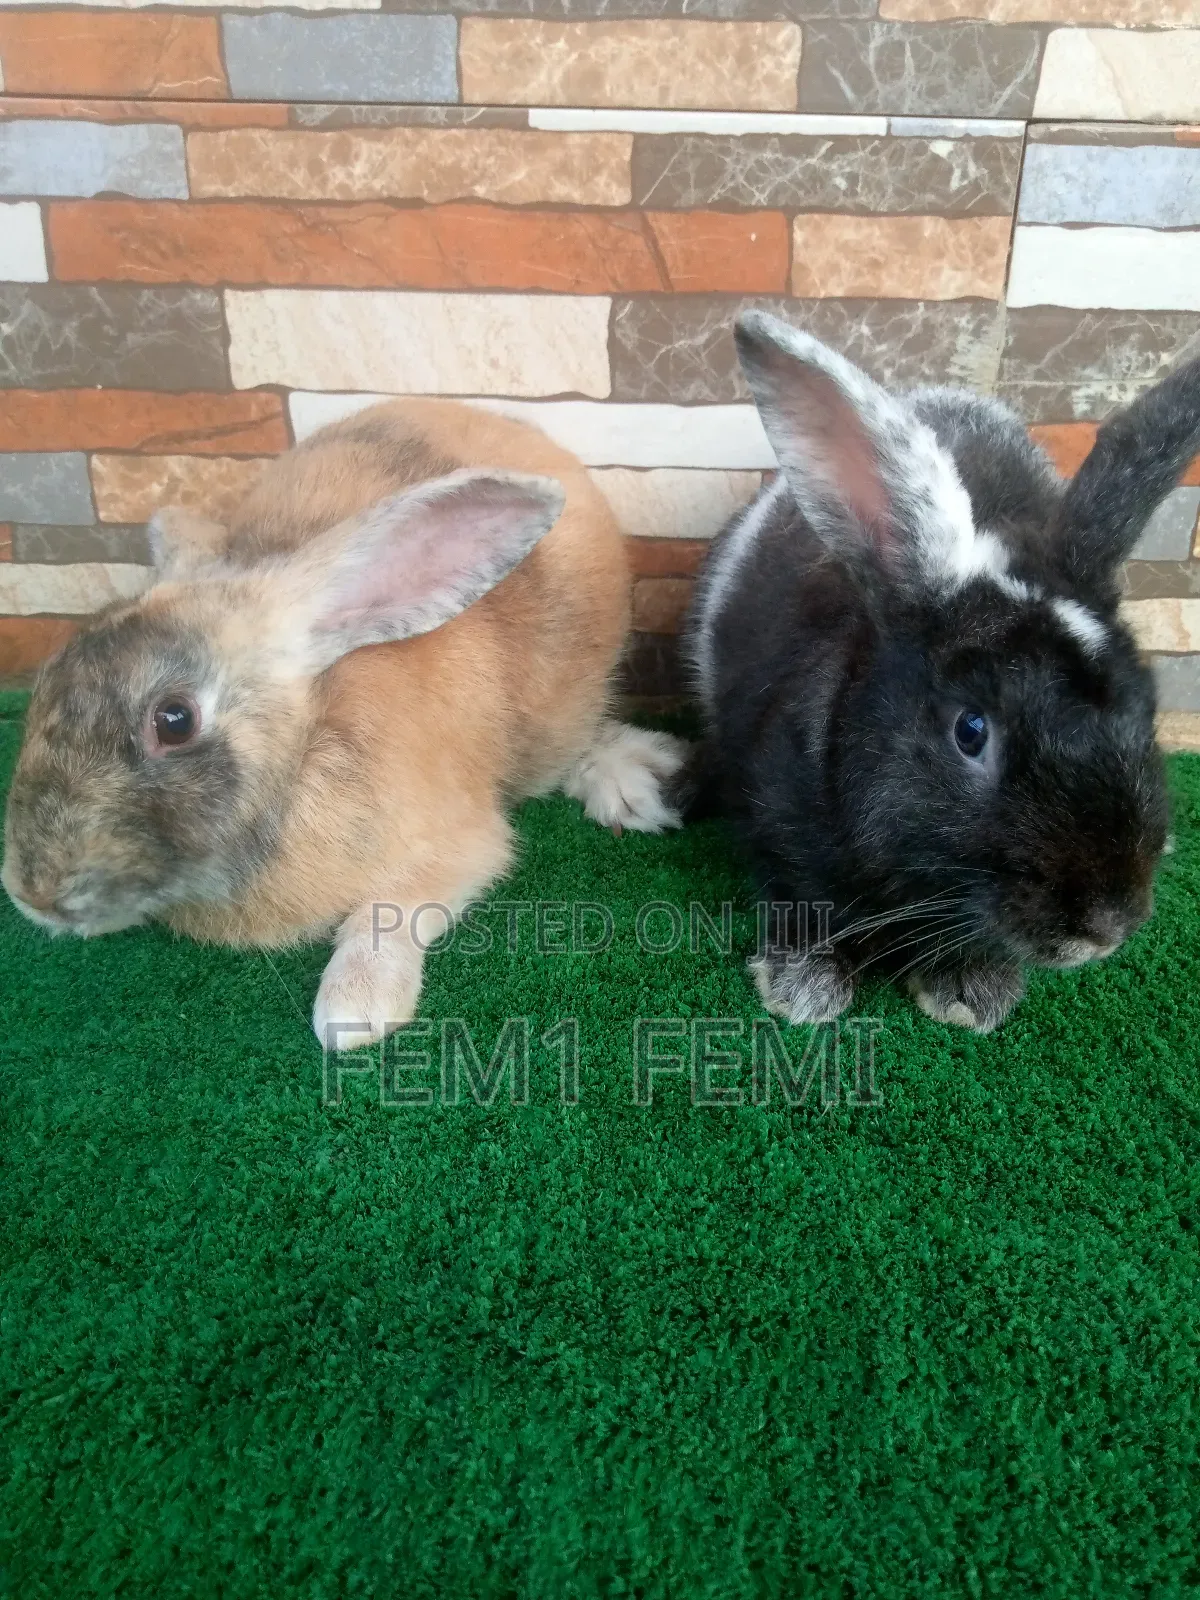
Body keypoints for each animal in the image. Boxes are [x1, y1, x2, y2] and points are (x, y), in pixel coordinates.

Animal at [2, 399, 685, 1049]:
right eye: (48, 678)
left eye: (174, 720)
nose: (32, 897)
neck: (309, 747)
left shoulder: (457, 845)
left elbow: (393, 909)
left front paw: (352, 1010)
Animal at [674, 310, 1200, 1033]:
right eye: (970, 731)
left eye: (1147, 705)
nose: (1108, 927)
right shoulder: (779, 827)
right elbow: (802, 900)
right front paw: (805, 987)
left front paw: (971, 993)